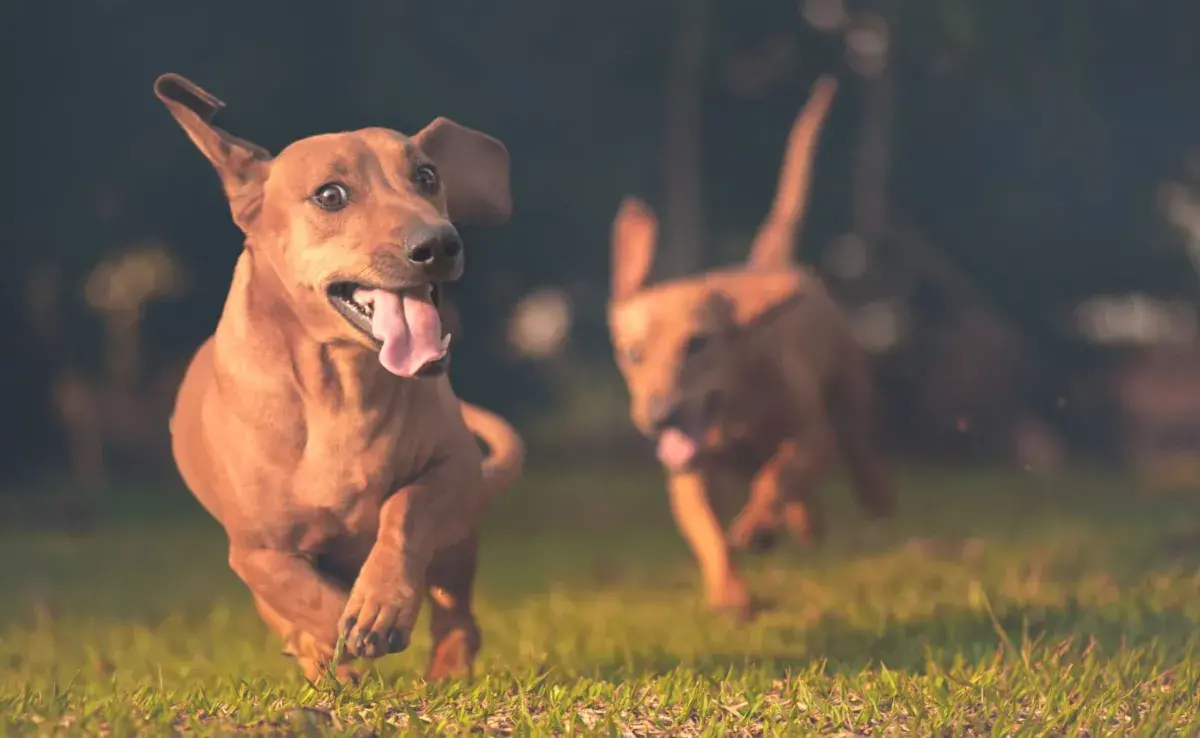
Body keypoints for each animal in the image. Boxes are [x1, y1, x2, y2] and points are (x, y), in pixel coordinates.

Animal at [153, 73, 520, 681]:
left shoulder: (455, 471)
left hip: (459, 546)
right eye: (330, 195)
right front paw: (333, 634)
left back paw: (446, 667)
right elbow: (298, 591)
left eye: (427, 176)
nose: (439, 244)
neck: (341, 391)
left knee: (457, 615)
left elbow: (406, 509)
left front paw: (379, 603)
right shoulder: (255, 550)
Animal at [609, 75, 892, 619]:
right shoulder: (689, 473)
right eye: (633, 355)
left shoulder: (811, 435)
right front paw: (730, 593)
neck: (732, 413)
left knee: (854, 443)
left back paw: (870, 498)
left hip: (850, 392)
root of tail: (767, 263)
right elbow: (708, 531)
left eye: (697, 344)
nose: (659, 418)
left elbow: (779, 474)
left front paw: (758, 525)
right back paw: (804, 525)